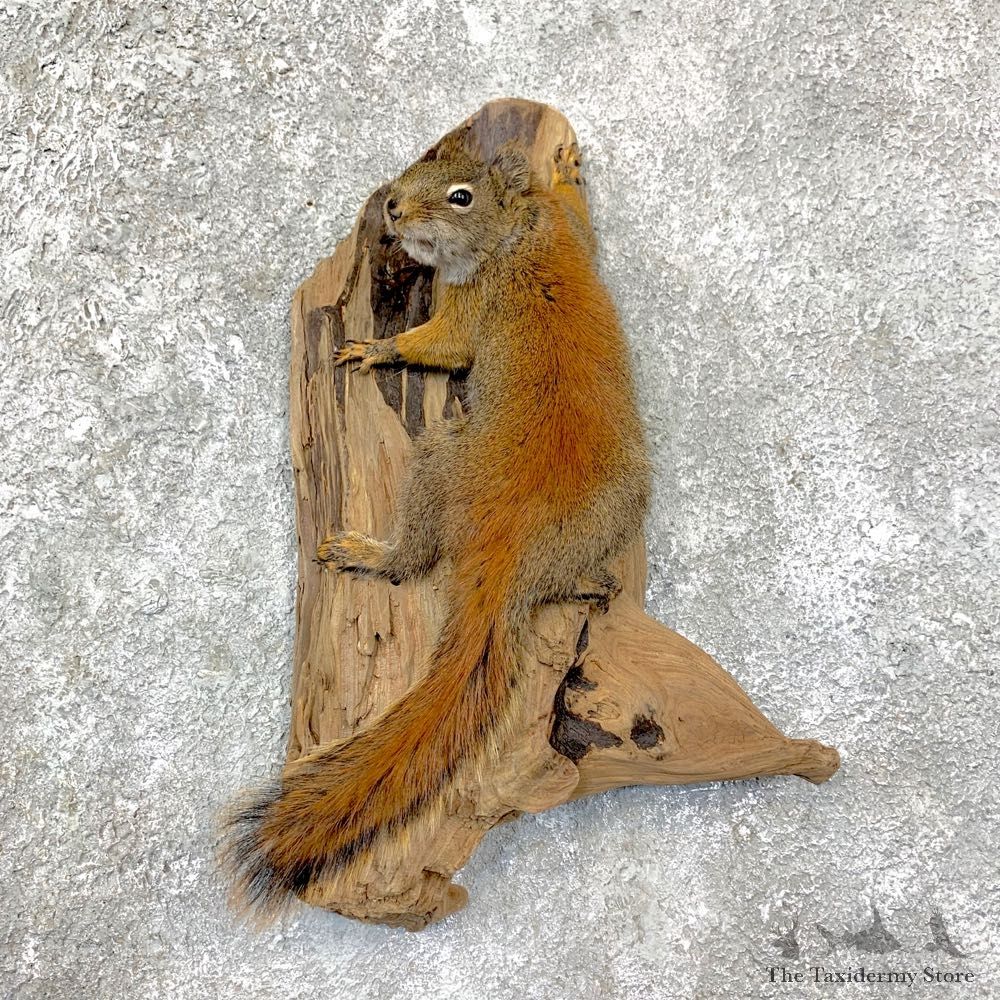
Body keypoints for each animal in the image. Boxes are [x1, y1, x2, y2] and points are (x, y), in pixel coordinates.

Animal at [221, 137, 652, 916]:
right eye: (435, 155)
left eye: (459, 195)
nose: (391, 206)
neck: (516, 234)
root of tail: (510, 547)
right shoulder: (568, 230)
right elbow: (578, 213)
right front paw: (568, 169)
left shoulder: (468, 304)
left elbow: (442, 347)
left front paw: (376, 349)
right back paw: (587, 582)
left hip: (439, 459)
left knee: (414, 559)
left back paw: (371, 553)